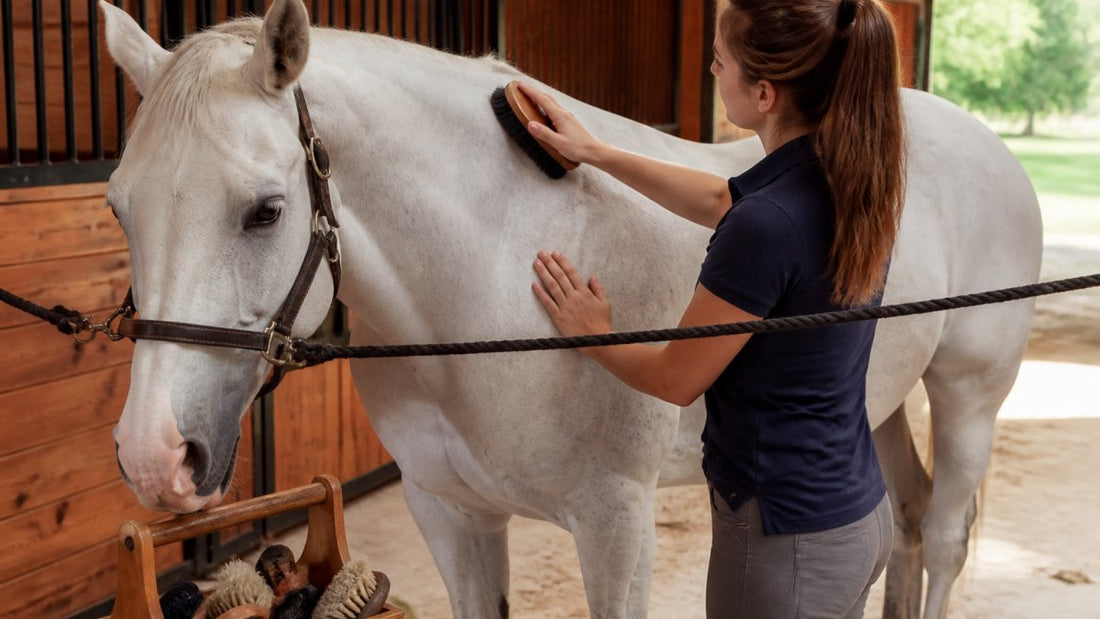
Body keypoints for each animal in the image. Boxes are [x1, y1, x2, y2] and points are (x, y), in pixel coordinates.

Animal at [100, 1, 1042, 617]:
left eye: (264, 210)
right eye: (118, 207)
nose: (154, 457)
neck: (493, 277)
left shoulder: (615, 525)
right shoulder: (452, 514)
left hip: (968, 396)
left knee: (945, 534)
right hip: (876, 403)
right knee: (908, 523)